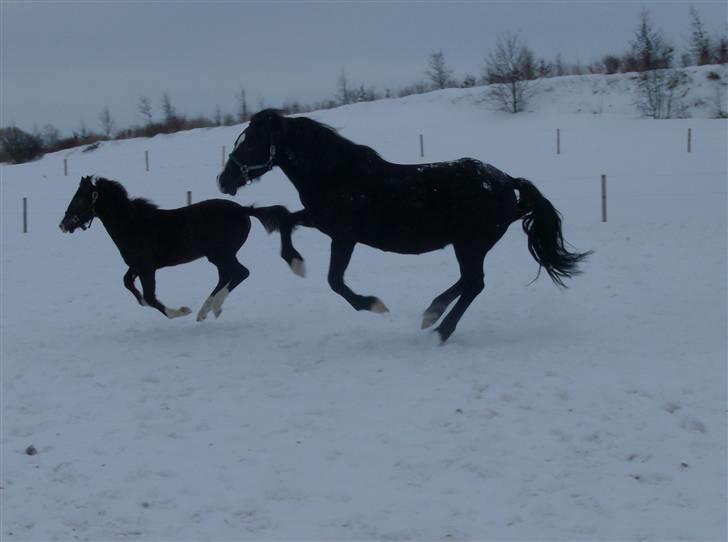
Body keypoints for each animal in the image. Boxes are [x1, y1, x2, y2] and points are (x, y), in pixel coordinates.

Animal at [59, 176, 304, 324]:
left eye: (79, 199)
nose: (63, 224)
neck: (133, 225)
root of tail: (243, 210)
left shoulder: (147, 269)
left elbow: (150, 296)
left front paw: (181, 311)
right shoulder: (136, 266)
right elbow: (129, 284)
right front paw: (144, 301)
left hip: (220, 254)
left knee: (240, 272)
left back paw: (210, 308)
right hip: (219, 256)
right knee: (228, 275)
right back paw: (208, 310)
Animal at [218, 109, 592, 342]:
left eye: (250, 143)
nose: (224, 180)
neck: (336, 174)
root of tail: (506, 182)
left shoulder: (344, 237)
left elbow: (335, 282)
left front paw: (373, 304)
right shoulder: (321, 221)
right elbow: (285, 219)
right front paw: (295, 262)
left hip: (470, 243)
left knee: (474, 283)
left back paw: (440, 329)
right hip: (468, 244)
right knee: (468, 282)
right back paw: (432, 313)